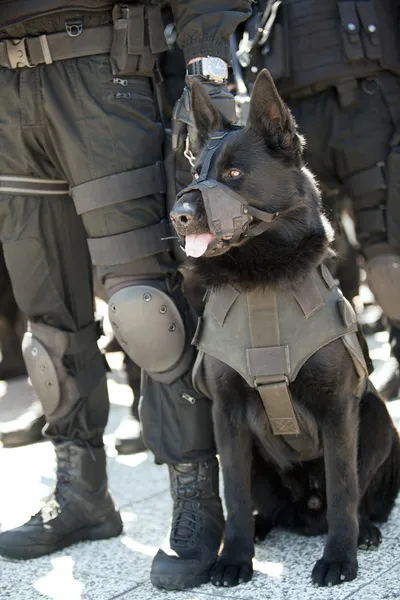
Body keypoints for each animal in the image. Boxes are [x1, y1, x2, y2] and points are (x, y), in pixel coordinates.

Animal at [170, 71, 400, 592]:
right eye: (197, 175)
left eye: (234, 174)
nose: (179, 216)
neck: (263, 284)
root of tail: (304, 509)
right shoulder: (227, 417)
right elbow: (234, 496)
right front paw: (234, 557)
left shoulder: (339, 410)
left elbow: (343, 489)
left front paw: (339, 557)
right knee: (263, 505)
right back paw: (257, 530)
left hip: (376, 416)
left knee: (355, 496)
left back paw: (365, 530)